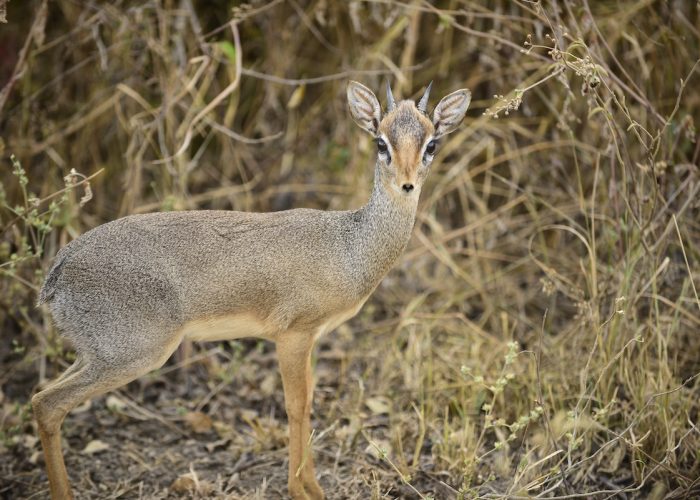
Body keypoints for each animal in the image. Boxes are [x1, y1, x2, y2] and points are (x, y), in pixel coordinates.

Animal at [32, 80, 470, 498]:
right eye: (381, 142)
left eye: (431, 143)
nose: (407, 185)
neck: (348, 247)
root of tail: (58, 270)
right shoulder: (293, 335)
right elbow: (296, 406)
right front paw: (301, 490)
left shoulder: (312, 339)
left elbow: (308, 404)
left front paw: (313, 487)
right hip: (133, 354)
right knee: (46, 405)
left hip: (95, 354)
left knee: (42, 398)